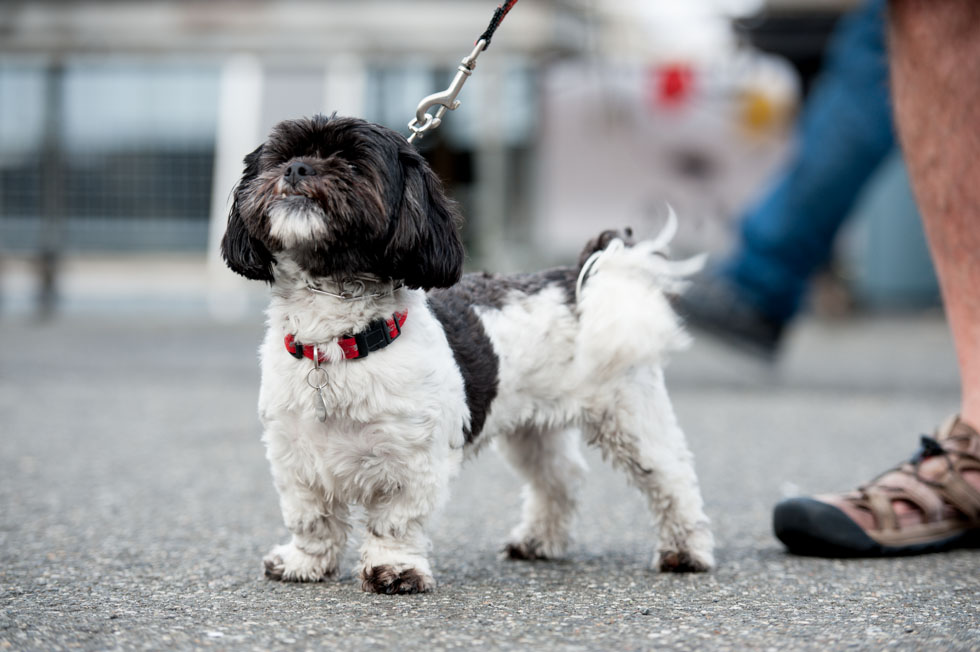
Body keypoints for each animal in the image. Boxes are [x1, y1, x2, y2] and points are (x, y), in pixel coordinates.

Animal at [222, 113, 712, 596]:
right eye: (280, 157)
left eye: (353, 164)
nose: (297, 169)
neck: (338, 342)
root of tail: (575, 279)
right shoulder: (295, 457)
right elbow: (311, 517)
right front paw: (305, 562)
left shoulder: (413, 461)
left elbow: (395, 522)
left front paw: (395, 569)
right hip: (533, 431)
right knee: (560, 479)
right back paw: (539, 540)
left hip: (631, 417)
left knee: (671, 477)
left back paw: (685, 551)